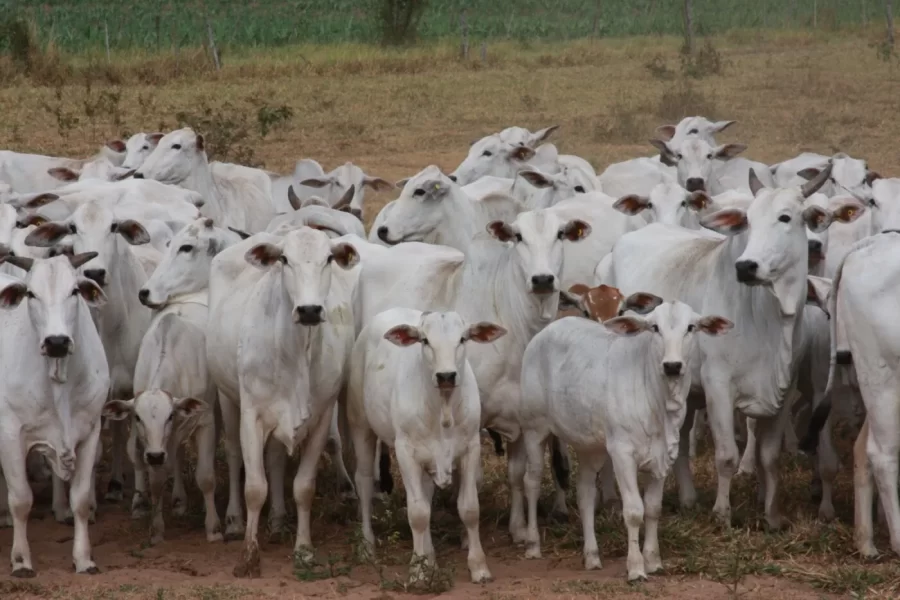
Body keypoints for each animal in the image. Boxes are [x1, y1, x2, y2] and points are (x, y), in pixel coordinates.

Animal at [205, 226, 358, 576]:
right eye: (285, 259)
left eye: (329, 259)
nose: (309, 310)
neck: (295, 352)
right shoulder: (252, 415)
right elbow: (254, 487)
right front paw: (249, 555)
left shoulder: (321, 416)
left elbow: (303, 487)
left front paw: (303, 549)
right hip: (227, 398)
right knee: (234, 455)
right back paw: (234, 521)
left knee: (275, 459)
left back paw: (276, 520)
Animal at [346, 312, 506, 584]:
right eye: (425, 340)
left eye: (462, 338)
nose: (446, 376)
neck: (442, 410)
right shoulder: (405, 453)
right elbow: (418, 513)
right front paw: (418, 572)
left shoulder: (470, 448)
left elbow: (469, 509)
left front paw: (478, 567)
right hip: (360, 425)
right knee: (365, 483)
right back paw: (367, 545)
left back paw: (430, 557)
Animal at [520, 302, 732, 580]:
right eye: (654, 327)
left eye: (691, 327)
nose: (672, 366)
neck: (657, 402)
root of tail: (547, 330)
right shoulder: (622, 454)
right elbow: (633, 511)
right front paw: (636, 567)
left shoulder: (663, 458)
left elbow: (653, 508)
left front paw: (653, 560)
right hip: (534, 430)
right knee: (531, 483)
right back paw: (533, 544)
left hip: (590, 447)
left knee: (585, 493)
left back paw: (592, 555)